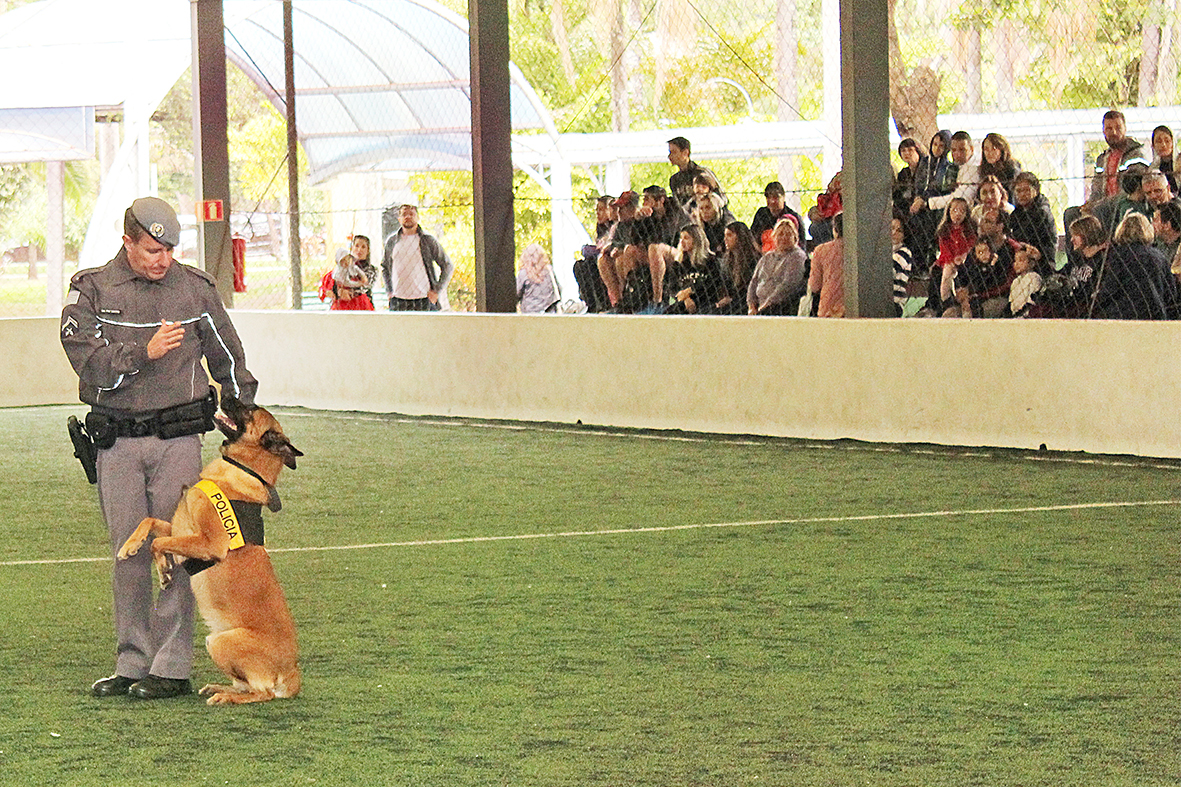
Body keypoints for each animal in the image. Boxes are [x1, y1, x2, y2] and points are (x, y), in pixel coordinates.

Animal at [116, 394, 302, 699]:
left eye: (249, 409)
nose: (225, 394)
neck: (243, 470)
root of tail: (292, 672)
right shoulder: (181, 530)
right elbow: (150, 522)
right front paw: (131, 547)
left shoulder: (209, 544)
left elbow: (158, 541)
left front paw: (164, 569)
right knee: (245, 685)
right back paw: (220, 687)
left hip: (219, 641)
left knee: (261, 693)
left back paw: (226, 697)